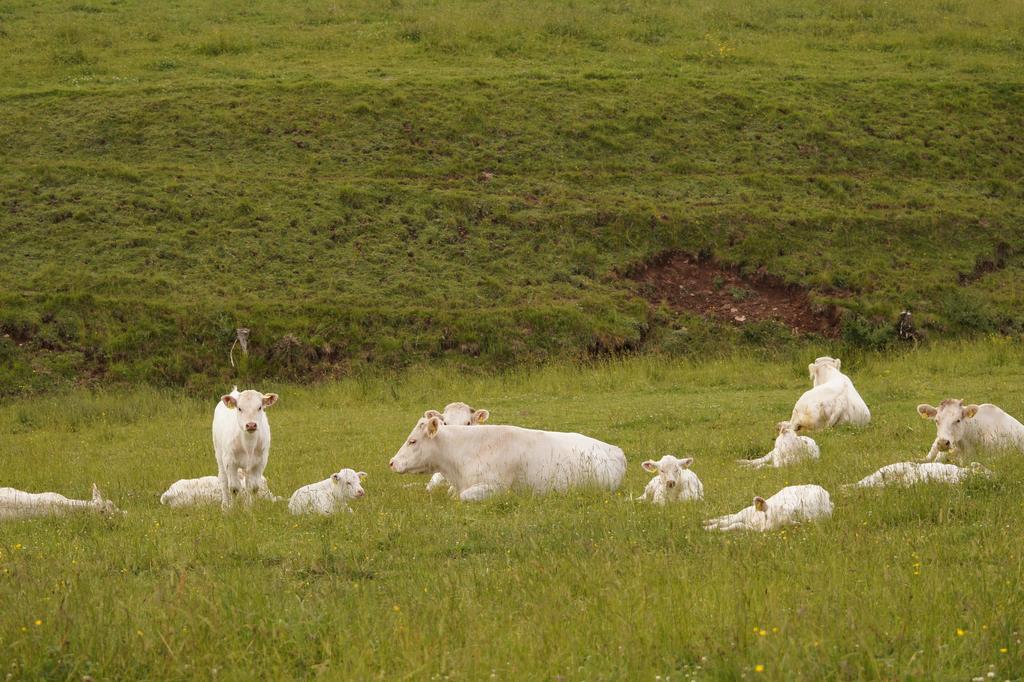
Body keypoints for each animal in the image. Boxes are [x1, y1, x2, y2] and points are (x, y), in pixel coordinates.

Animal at [700, 483, 835, 532]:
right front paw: (708, 527)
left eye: (782, 526)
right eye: (766, 515)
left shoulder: (751, 528)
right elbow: (728, 521)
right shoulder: (745, 513)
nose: (766, 530)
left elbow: (736, 525)